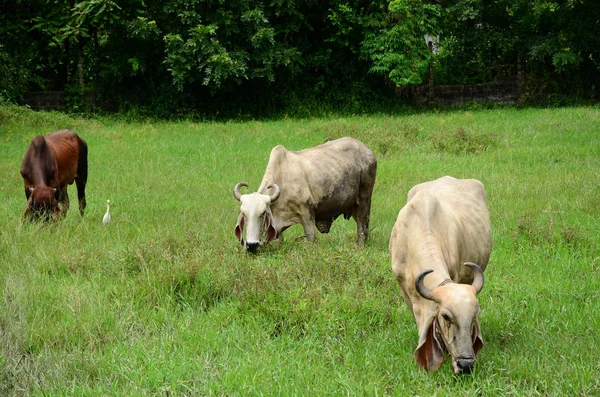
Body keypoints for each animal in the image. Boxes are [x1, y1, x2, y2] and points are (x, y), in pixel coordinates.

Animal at [233, 138, 376, 252]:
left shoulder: (307, 213)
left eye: (263, 213)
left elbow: (311, 236)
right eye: (244, 214)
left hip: (364, 200)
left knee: (362, 228)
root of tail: (368, 151)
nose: (251, 245)